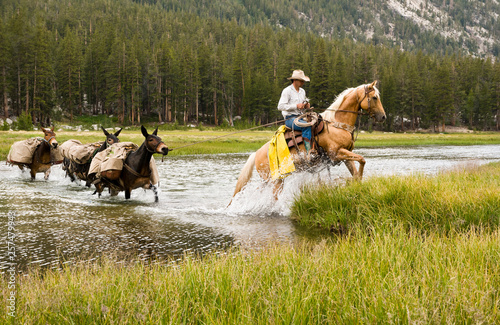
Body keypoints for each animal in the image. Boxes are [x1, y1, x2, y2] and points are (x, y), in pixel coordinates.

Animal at [231, 79, 386, 199]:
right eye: (374, 97)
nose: (383, 117)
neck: (337, 124)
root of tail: (256, 153)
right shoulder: (336, 154)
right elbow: (362, 159)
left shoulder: (346, 155)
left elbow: (357, 167)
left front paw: (357, 183)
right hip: (275, 181)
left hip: (267, 181)